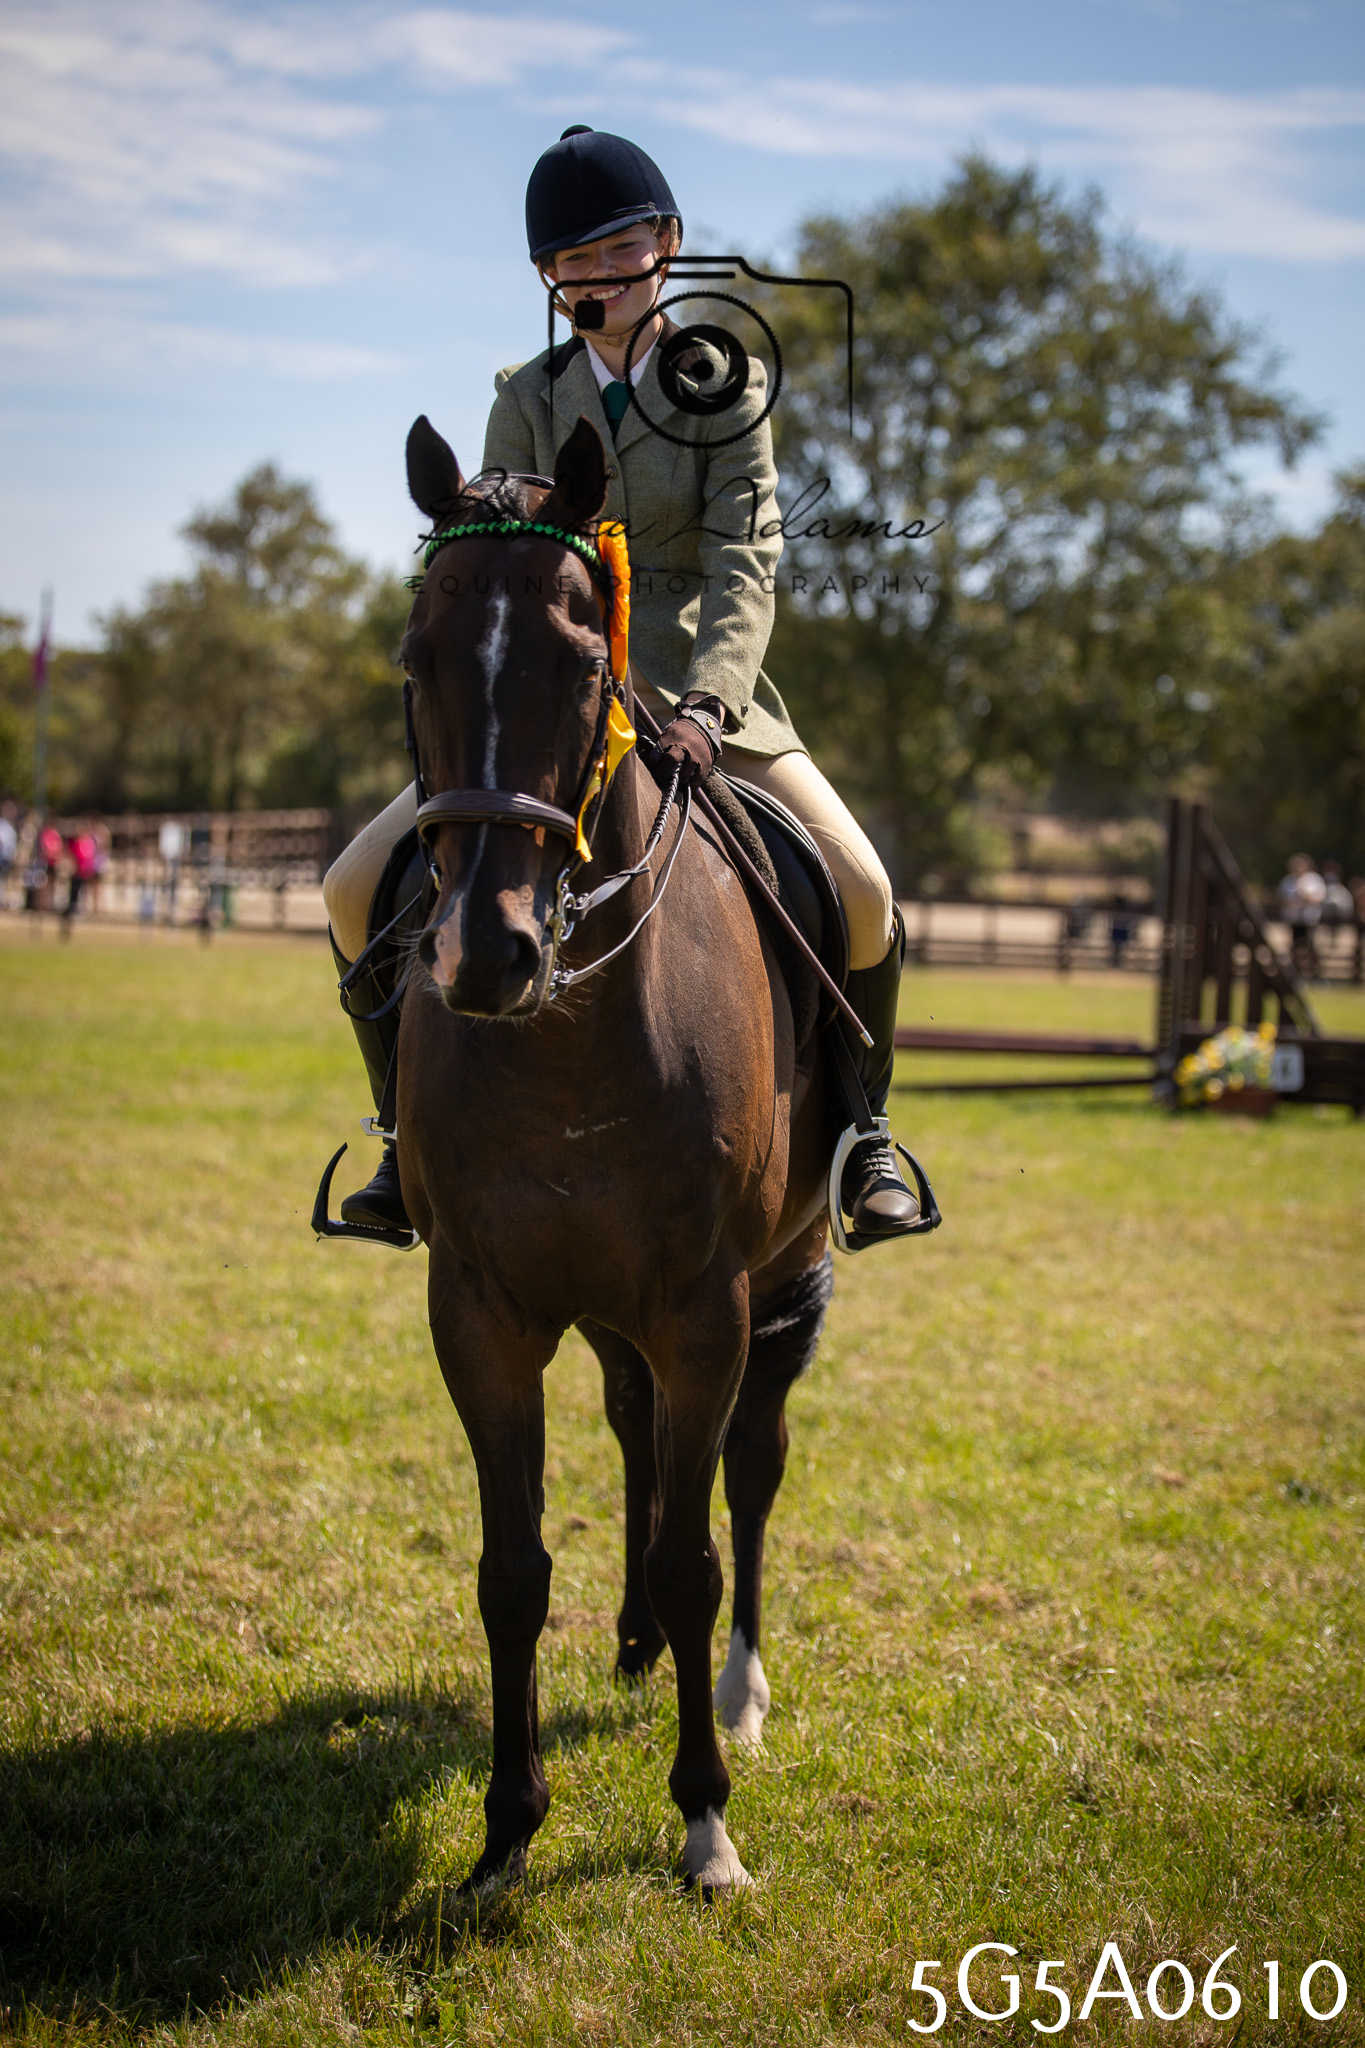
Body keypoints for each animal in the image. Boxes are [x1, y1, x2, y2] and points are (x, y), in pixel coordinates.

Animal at [393, 411, 836, 1894]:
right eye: (414, 659)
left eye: (582, 667)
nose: (485, 954)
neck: (571, 1026)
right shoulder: (480, 1308)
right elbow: (510, 1566)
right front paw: (503, 1833)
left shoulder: (708, 1304)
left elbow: (701, 1552)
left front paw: (704, 1824)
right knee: (637, 1430)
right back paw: (637, 1640)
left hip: (784, 1278)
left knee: (747, 1467)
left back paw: (737, 1692)